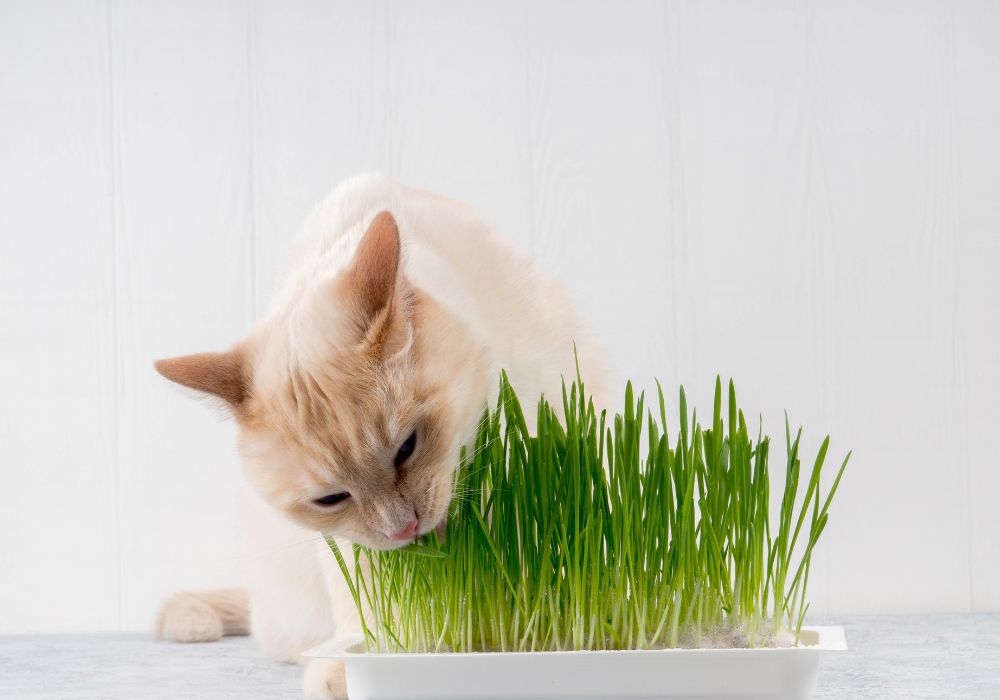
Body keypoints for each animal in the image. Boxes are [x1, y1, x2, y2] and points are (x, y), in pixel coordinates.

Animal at [157, 172, 608, 696]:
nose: (404, 528)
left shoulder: (536, 447)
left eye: (407, 447)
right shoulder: (348, 543)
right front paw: (359, 666)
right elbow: (370, 611)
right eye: (331, 499)